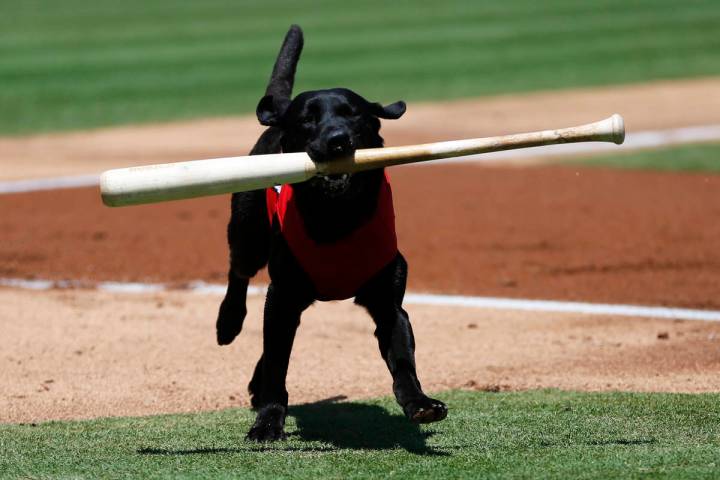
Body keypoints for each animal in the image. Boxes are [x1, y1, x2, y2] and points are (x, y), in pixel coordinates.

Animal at [217, 24, 448, 440]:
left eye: (353, 114)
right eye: (307, 120)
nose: (338, 139)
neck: (337, 218)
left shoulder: (388, 304)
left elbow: (403, 359)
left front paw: (420, 403)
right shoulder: (282, 297)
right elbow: (278, 364)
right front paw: (268, 420)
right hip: (247, 232)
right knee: (238, 272)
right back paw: (228, 322)